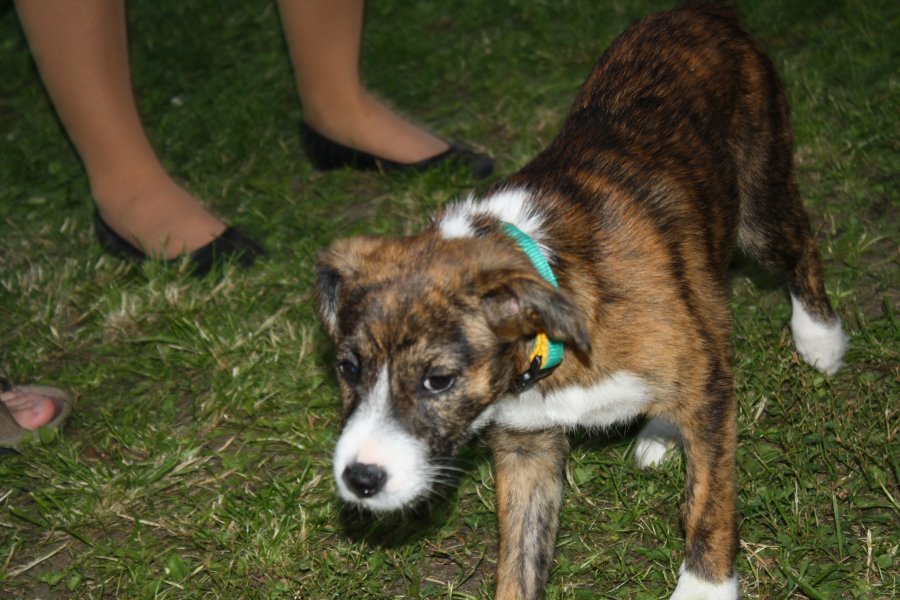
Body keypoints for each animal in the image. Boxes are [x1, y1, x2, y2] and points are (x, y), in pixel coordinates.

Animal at [316, 2, 848, 598]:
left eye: (439, 380)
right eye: (348, 368)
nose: (360, 479)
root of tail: (701, 11)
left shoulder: (710, 396)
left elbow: (710, 500)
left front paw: (705, 585)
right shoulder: (528, 446)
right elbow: (520, 558)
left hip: (759, 208)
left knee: (801, 242)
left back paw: (820, 339)